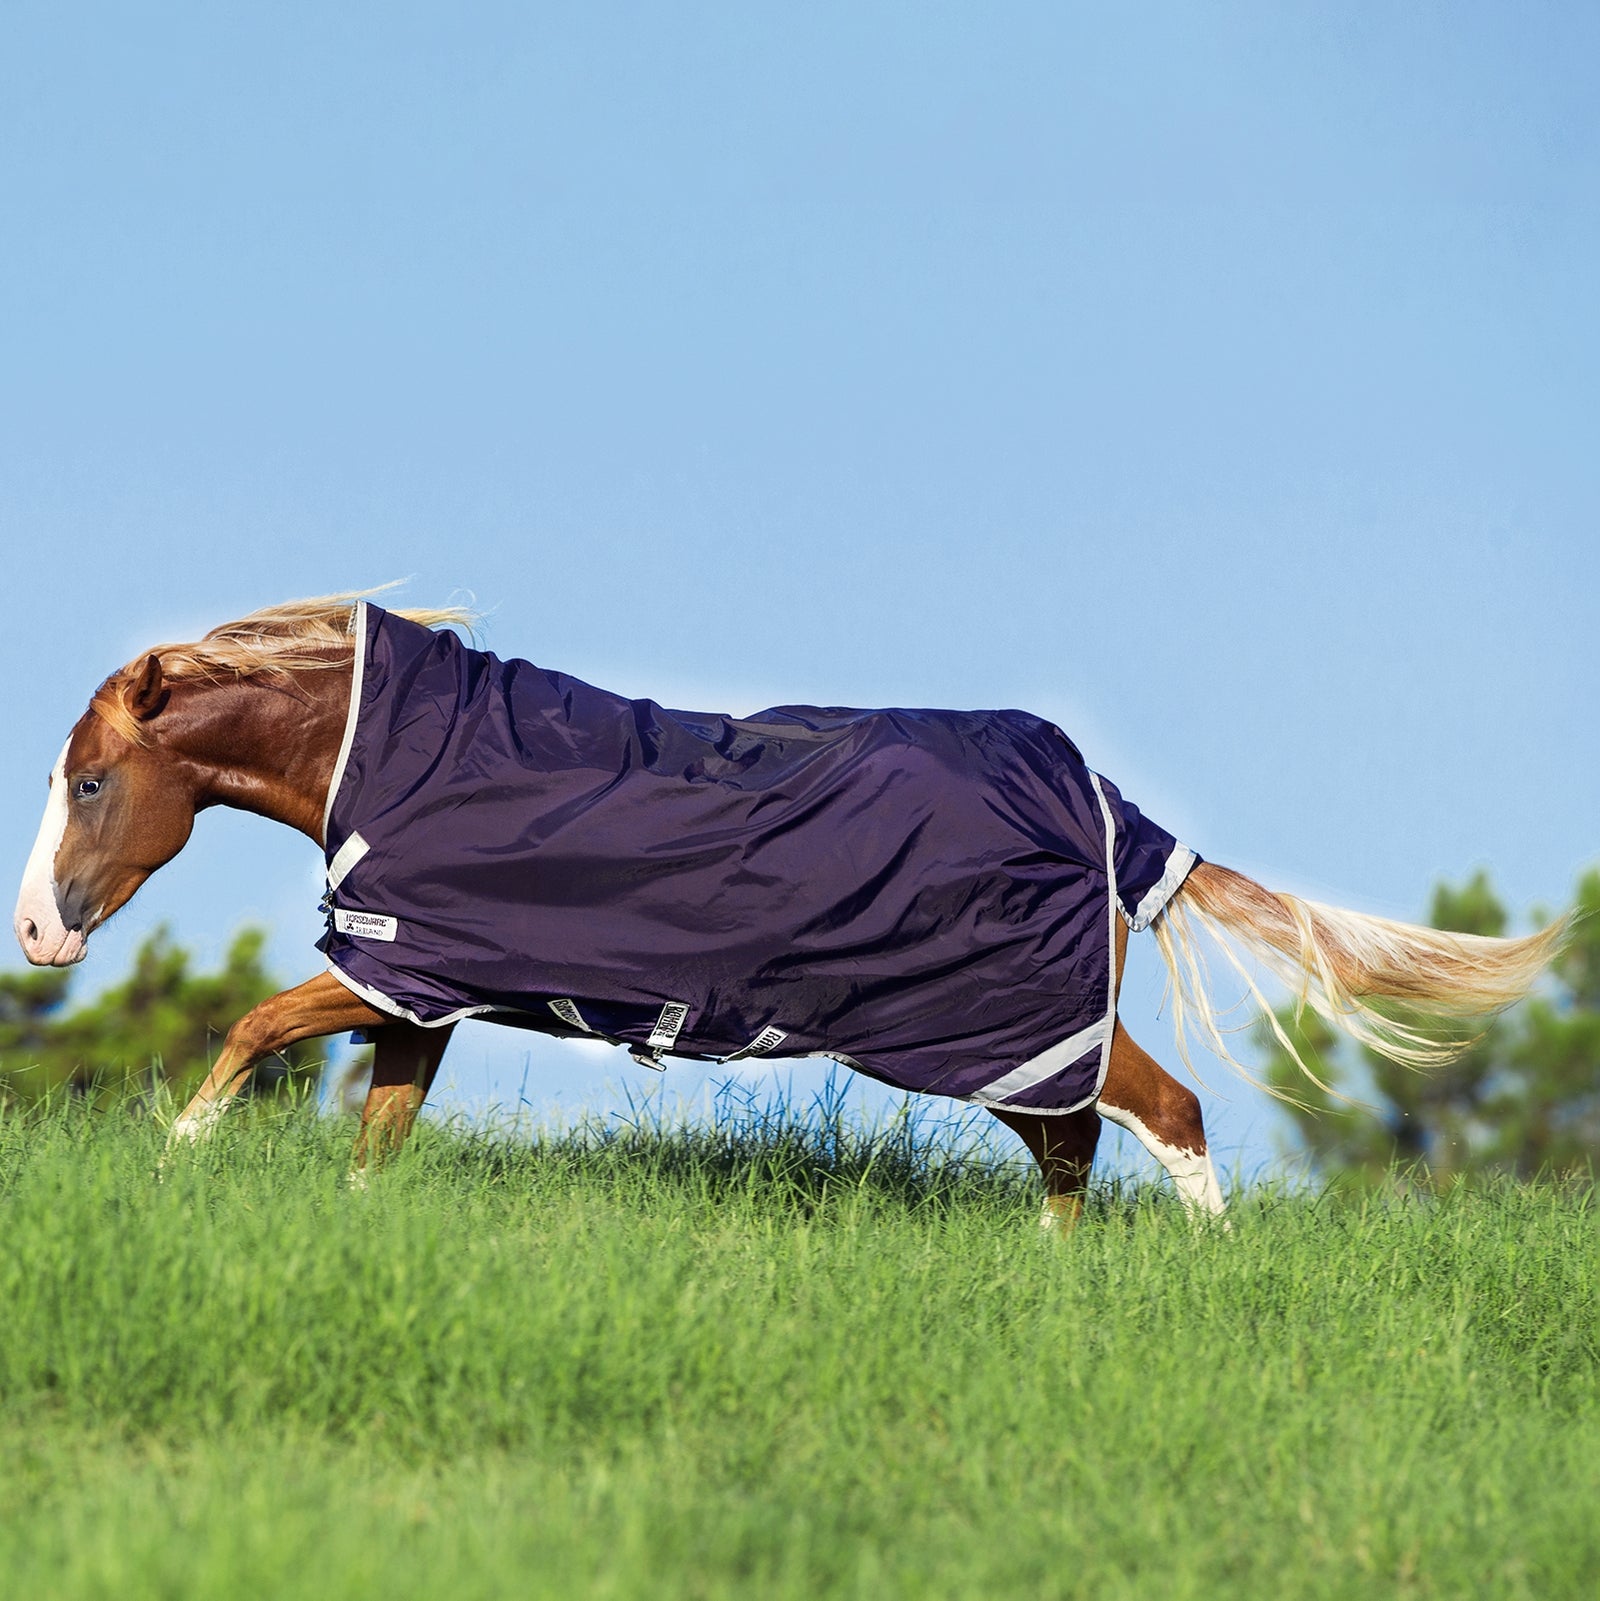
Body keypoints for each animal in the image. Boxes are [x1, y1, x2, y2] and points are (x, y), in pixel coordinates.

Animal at [12, 593, 1563, 1223]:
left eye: (89, 781)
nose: (36, 934)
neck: (394, 756)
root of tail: (1112, 809)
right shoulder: (424, 991)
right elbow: (375, 1136)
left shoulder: (396, 964)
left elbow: (251, 1027)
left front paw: (172, 1162)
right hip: (1010, 1047)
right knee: (1072, 1154)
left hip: (1015, 1023)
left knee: (1165, 1119)